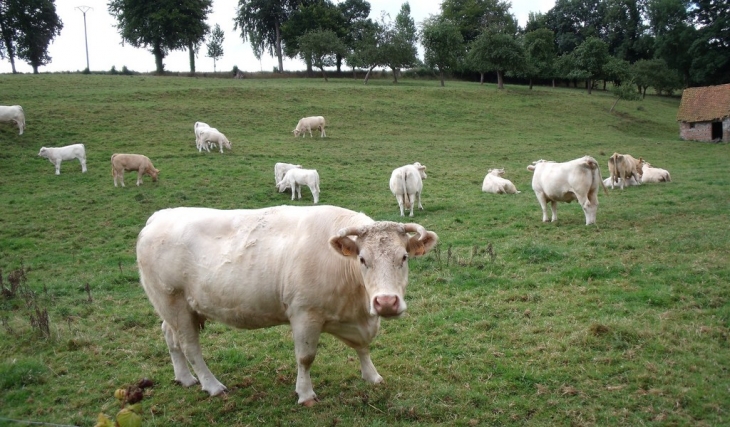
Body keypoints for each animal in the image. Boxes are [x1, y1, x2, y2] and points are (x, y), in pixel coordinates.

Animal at [134, 207, 436, 408]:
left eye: (404, 257)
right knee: (190, 347)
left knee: (170, 337)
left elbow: (363, 347)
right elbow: (305, 358)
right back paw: (212, 385)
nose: (385, 302)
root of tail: (157, 217)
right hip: (173, 301)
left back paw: (184, 378)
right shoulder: (304, 314)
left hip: (174, 307)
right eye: (363, 259)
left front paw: (372, 376)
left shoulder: (356, 319)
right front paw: (305, 394)